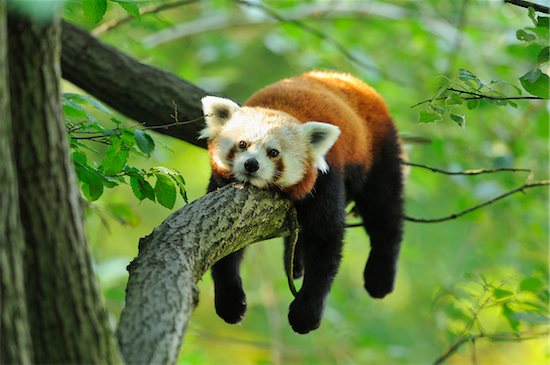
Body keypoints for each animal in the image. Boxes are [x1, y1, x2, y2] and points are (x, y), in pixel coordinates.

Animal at [201, 70, 404, 332]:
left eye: (273, 153)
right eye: (243, 144)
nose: (251, 165)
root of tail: (348, 78)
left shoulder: (325, 180)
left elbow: (325, 242)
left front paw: (306, 313)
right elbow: (224, 246)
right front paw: (230, 302)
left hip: (378, 148)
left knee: (384, 208)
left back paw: (380, 278)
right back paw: (296, 261)